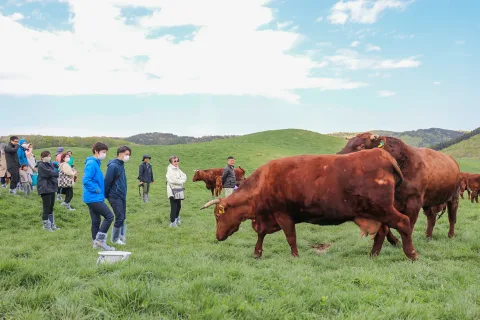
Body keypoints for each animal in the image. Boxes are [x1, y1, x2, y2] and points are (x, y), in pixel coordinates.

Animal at [201, 149, 418, 262]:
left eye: (218, 215)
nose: (217, 237)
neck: (262, 182)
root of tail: (382, 154)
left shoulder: (283, 215)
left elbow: (290, 237)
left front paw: (295, 256)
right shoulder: (266, 217)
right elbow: (261, 233)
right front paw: (257, 252)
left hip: (383, 209)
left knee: (403, 222)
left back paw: (411, 254)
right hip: (376, 212)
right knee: (382, 232)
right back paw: (373, 255)